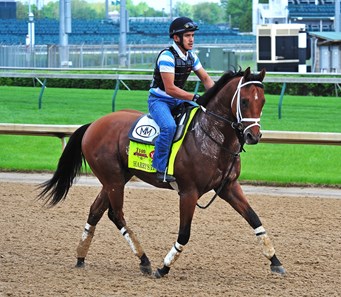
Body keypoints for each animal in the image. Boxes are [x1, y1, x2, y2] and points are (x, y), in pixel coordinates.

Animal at [37, 67, 284, 278]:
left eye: (262, 100)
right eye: (244, 100)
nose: (253, 136)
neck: (211, 138)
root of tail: (93, 124)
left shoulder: (228, 187)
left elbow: (254, 219)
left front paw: (275, 261)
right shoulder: (188, 192)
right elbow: (184, 233)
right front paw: (164, 267)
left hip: (116, 179)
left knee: (96, 211)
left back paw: (81, 256)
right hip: (113, 179)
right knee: (116, 214)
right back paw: (144, 260)